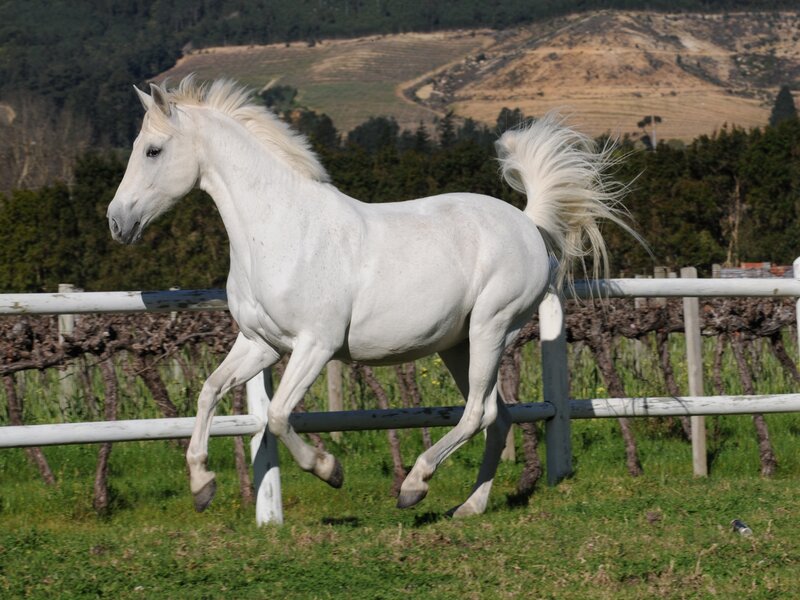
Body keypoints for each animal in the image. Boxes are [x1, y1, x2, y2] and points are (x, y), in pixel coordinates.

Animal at [107, 77, 637, 517]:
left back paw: (415, 487)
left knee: (478, 413)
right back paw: (469, 506)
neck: (279, 231)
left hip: (492, 327)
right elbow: (208, 391)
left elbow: (276, 416)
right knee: (497, 416)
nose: (117, 221)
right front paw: (202, 485)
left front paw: (330, 470)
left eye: (153, 150)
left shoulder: (315, 345)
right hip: (458, 344)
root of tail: (528, 223)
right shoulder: (261, 343)